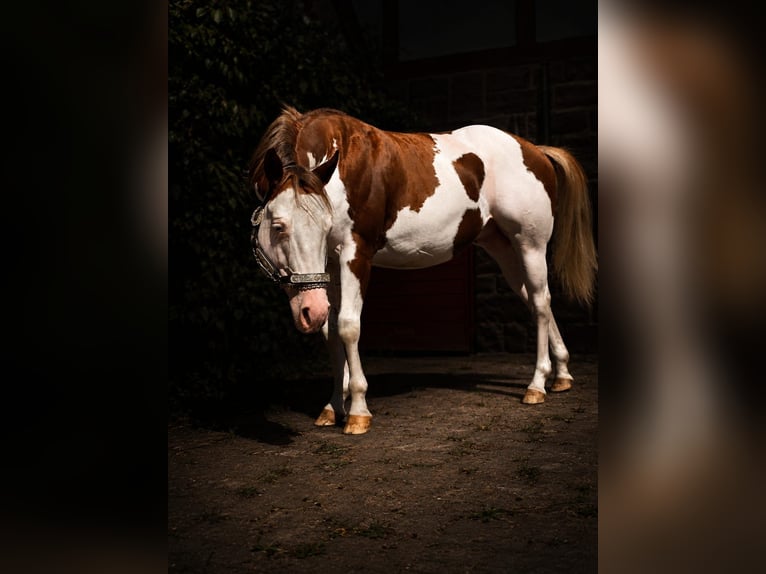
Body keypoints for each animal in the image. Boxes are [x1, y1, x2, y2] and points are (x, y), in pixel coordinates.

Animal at [248, 106, 597, 435]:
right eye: (278, 226)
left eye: (323, 225)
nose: (309, 310)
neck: (343, 163)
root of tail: (535, 150)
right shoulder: (329, 265)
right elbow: (331, 331)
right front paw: (333, 407)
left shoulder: (355, 254)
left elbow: (348, 326)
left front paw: (358, 411)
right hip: (502, 248)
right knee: (537, 301)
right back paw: (562, 375)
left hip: (530, 245)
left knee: (540, 303)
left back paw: (536, 385)